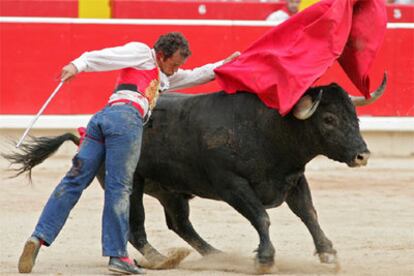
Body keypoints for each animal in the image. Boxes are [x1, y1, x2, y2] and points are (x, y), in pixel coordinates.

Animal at [4, 74, 384, 272]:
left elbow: (309, 214)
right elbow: (261, 217)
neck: (267, 129)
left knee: (179, 223)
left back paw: (215, 255)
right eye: (328, 119)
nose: (362, 155)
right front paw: (265, 257)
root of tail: (84, 130)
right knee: (135, 226)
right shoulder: (232, 185)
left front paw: (328, 253)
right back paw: (161, 259)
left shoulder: (293, 180)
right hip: (133, 184)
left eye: (354, 117)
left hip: (171, 192)